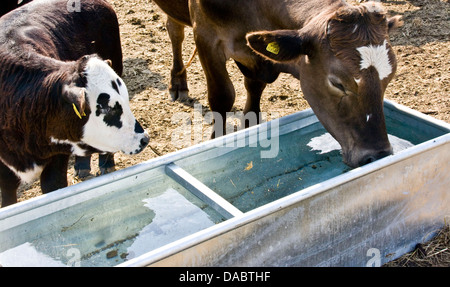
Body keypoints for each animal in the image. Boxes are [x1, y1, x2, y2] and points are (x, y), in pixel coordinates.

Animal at [153, 0, 402, 168]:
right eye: (337, 83)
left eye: (389, 78)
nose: (378, 154)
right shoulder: (205, 37)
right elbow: (222, 97)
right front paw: (219, 140)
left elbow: (254, 91)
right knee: (174, 30)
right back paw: (178, 82)